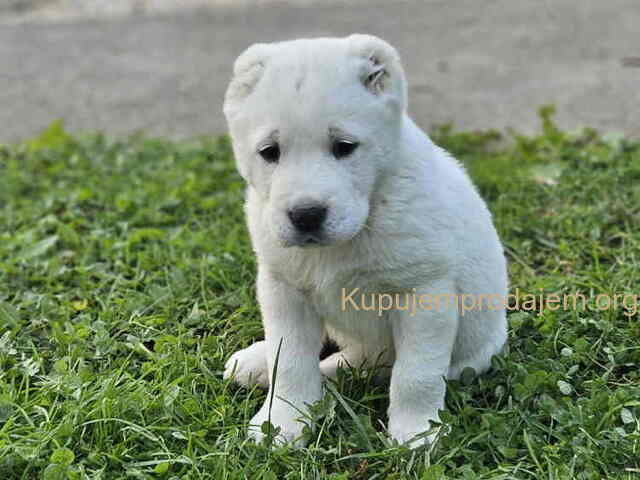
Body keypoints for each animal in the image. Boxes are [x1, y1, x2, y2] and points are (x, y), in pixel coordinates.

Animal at [222, 34, 508, 448]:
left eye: (345, 146)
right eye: (269, 152)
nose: (306, 215)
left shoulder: (423, 293)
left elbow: (416, 374)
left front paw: (416, 433)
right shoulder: (283, 289)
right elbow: (288, 361)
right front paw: (282, 422)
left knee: (364, 365)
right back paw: (257, 362)